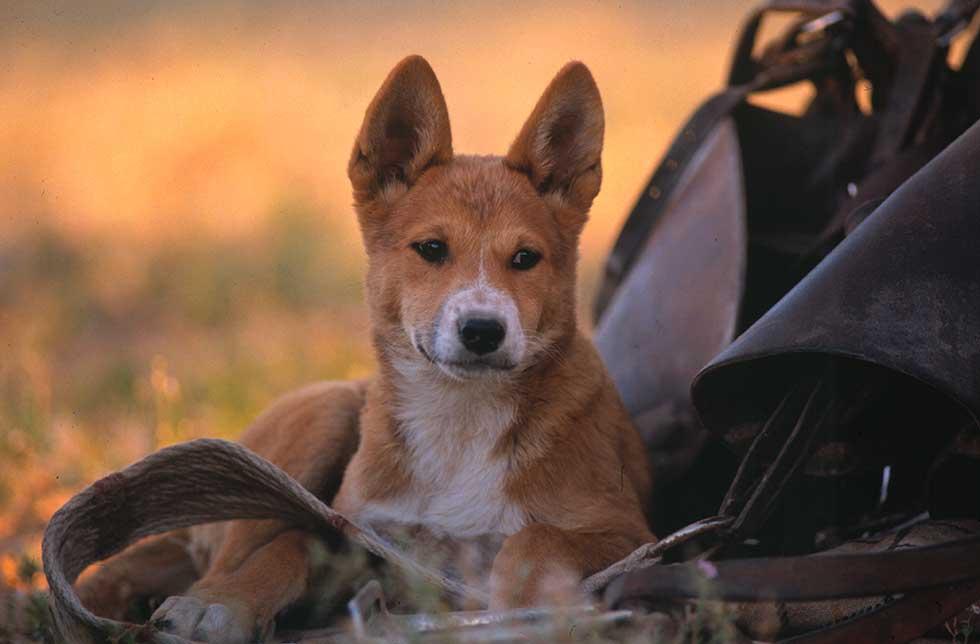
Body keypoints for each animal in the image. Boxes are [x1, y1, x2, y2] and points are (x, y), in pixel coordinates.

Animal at [76, 56, 656, 644]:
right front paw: (225, 603)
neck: (459, 420)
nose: (482, 330)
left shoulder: (628, 532)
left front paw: (520, 611)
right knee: (232, 552)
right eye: (431, 249)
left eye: (525, 258)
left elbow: (536, 538)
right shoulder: (364, 541)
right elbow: (289, 546)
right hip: (321, 416)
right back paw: (208, 599)